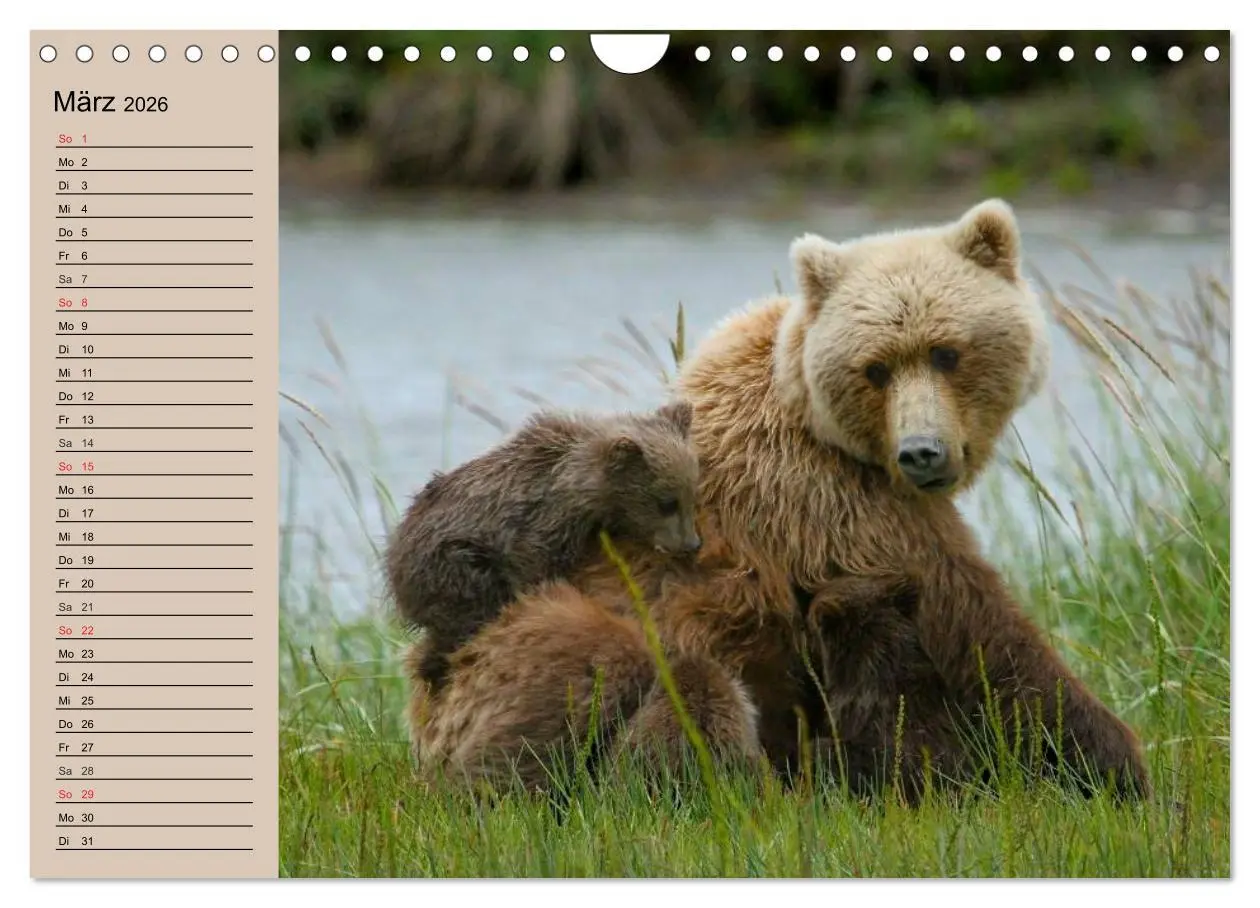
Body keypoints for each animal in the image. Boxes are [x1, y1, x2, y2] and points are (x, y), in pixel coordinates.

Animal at [385, 401, 702, 699]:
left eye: (691, 495)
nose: (692, 545)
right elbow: (533, 566)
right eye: (666, 503)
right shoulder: (540, 523)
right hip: (452, 564)